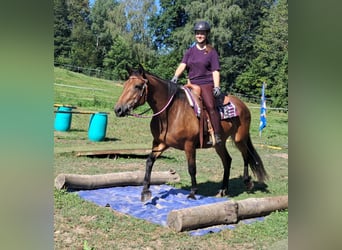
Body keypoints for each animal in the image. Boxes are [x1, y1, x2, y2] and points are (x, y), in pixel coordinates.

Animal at [115, 64, 268, 201]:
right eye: (125, 85)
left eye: (137, 86)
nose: (118, 109)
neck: (171, 112)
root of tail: (243, 105)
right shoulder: (160, 143)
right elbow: (149, 162)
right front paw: (145, 191)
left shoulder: (189, 145)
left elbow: (192, 168)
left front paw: (193, 192)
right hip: (219, 143)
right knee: (227, 160)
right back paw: (223, 189)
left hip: (239, 138)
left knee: (246, 155)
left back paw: (247, 182)